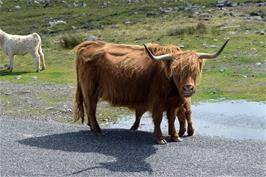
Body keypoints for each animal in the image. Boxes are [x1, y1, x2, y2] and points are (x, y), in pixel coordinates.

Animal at [74, 39, 229, 144]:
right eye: (176, 71)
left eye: (195, 70)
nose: (187, 88)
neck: (172, 87)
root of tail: (87, 45)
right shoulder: (157, 101)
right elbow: (158, 119)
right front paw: (160, 139)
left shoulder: (174, 102)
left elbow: (172, 118)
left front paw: (175, 136)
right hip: (90, 90)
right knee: (91, 108)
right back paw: (98, 131)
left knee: (91, 108)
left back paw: (92, 128)